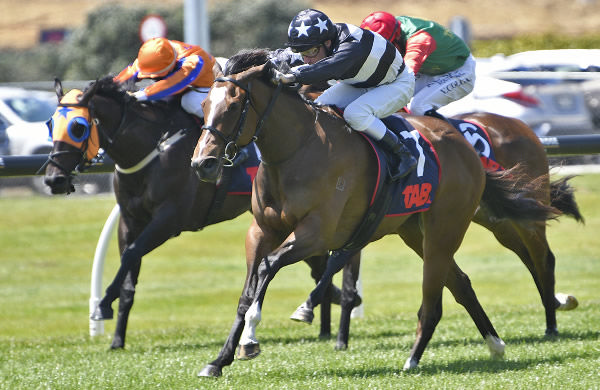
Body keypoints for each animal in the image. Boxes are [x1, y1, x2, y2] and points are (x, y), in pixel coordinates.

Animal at [43, 76, 346, 348]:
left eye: (78, 127)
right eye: (50, 124)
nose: (53, 179)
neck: (152, 149)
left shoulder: (169, 219)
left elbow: (131, 254)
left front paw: (103, 305)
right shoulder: (130, 220)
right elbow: (129, 273)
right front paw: (117, 340)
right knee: (317, 263)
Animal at [191, 50, 556, 376]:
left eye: (233, 106)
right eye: (204, 107)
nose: (202, 164)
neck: (297, 150)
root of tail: (467, 148)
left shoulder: (317, 233)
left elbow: (269, 268)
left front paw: (254, 336)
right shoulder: (261, 231)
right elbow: (247, 291)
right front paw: (220, 360)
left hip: (446, 228)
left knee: (436, 300)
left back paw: (413, 361)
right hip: (416, 232)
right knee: (461, 283)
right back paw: (495, 344)